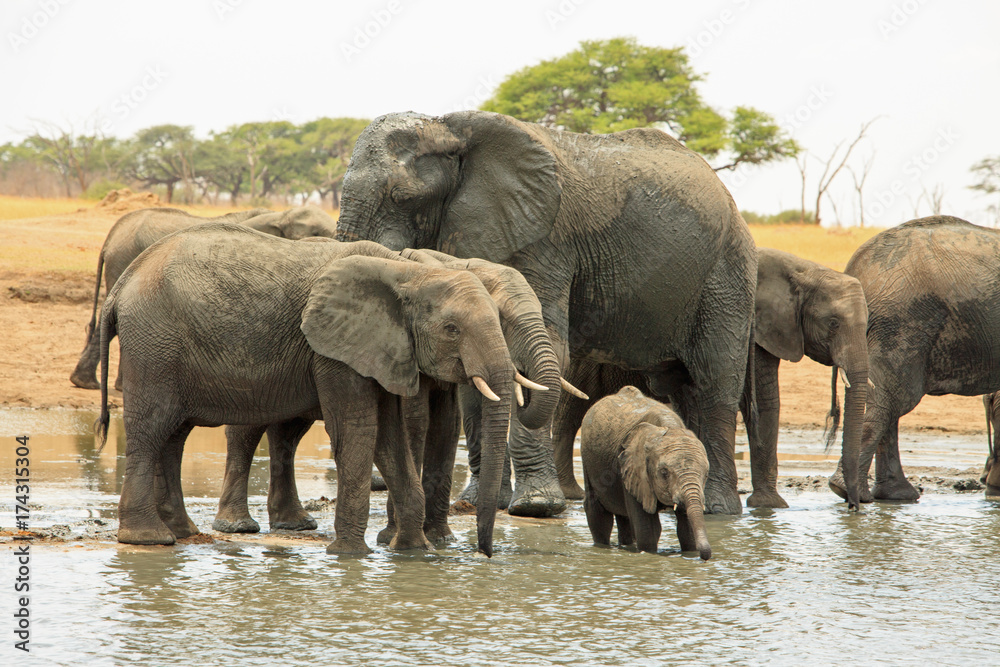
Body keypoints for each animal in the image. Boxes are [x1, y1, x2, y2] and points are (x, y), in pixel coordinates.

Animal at [94, 223, 521, 556]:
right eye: (452, 329)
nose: (485, 553)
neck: (407, 273)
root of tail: (122, 285)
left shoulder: (382, 349)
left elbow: (389, 437)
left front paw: (413, 552)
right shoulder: (333, 350)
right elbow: (357, 430)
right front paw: (349, 555)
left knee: (175, 435)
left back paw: (182, 533)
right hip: (154, 344)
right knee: (153, 428)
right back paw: (149, 539)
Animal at [336, 110, 757, 517]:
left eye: (401, 197)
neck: (448, 128)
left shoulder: (545, 239)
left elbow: (543, 351)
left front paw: (536, 507)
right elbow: (476, 370)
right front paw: (478, 502)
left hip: (727, 276)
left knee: (715, 381)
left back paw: (719, 509)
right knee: (680, 386)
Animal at [581, 386, 712, 559]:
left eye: (706, 475)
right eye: (664, 473)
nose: (705, 557)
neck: (669, 428)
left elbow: (686, 530)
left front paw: (689, 555)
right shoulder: (632, 470)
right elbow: (649, 529)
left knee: (624, 518)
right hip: (587, 459)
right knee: (599, 514)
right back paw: (601, 547)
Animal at [837, 216, 1000, 501]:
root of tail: (856, 269)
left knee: (886, 400)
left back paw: (893, 495)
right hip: (904, 322)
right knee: (892, 399)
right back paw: (853, 493)